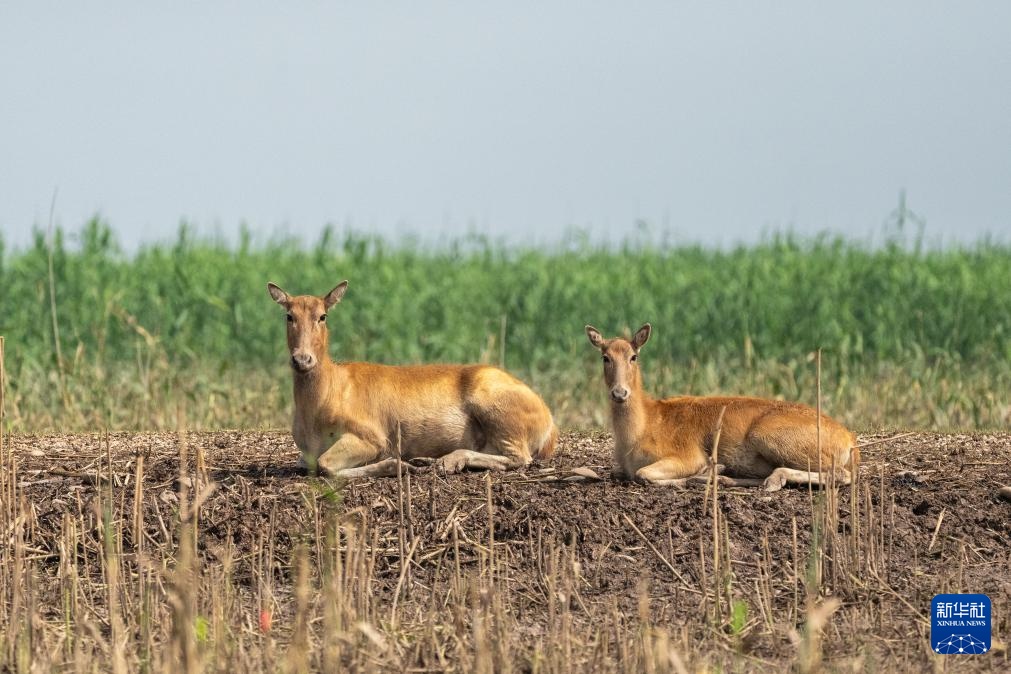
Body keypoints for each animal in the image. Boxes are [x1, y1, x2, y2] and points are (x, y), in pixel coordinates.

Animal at [267, 280, 558, 478]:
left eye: (323, 315)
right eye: (289, 315)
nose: (302, 360)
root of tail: (550, 423)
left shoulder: (373, 436)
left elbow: (325, 465)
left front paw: (401, 464)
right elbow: (310, 463)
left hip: (495, 408)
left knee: (520, 457)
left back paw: (445, 461)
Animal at [585, 323, 857, 491]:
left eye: (634, 356)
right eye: (605, 357)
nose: (620, 392)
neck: (642, 427)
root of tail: (849, 440)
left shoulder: (686, 454)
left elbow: (644, 474)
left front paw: (701, 472)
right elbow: (619, 473)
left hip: (768, 435)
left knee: (842, 474)